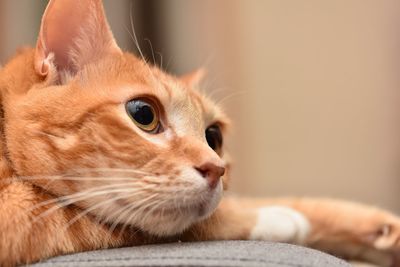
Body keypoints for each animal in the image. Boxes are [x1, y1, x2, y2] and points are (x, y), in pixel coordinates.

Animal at [0, 0, 400, 267]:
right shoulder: (25, 216)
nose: (215, 169)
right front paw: (279, 220)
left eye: (214, 137)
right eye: (143, 114)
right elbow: (194, 222)